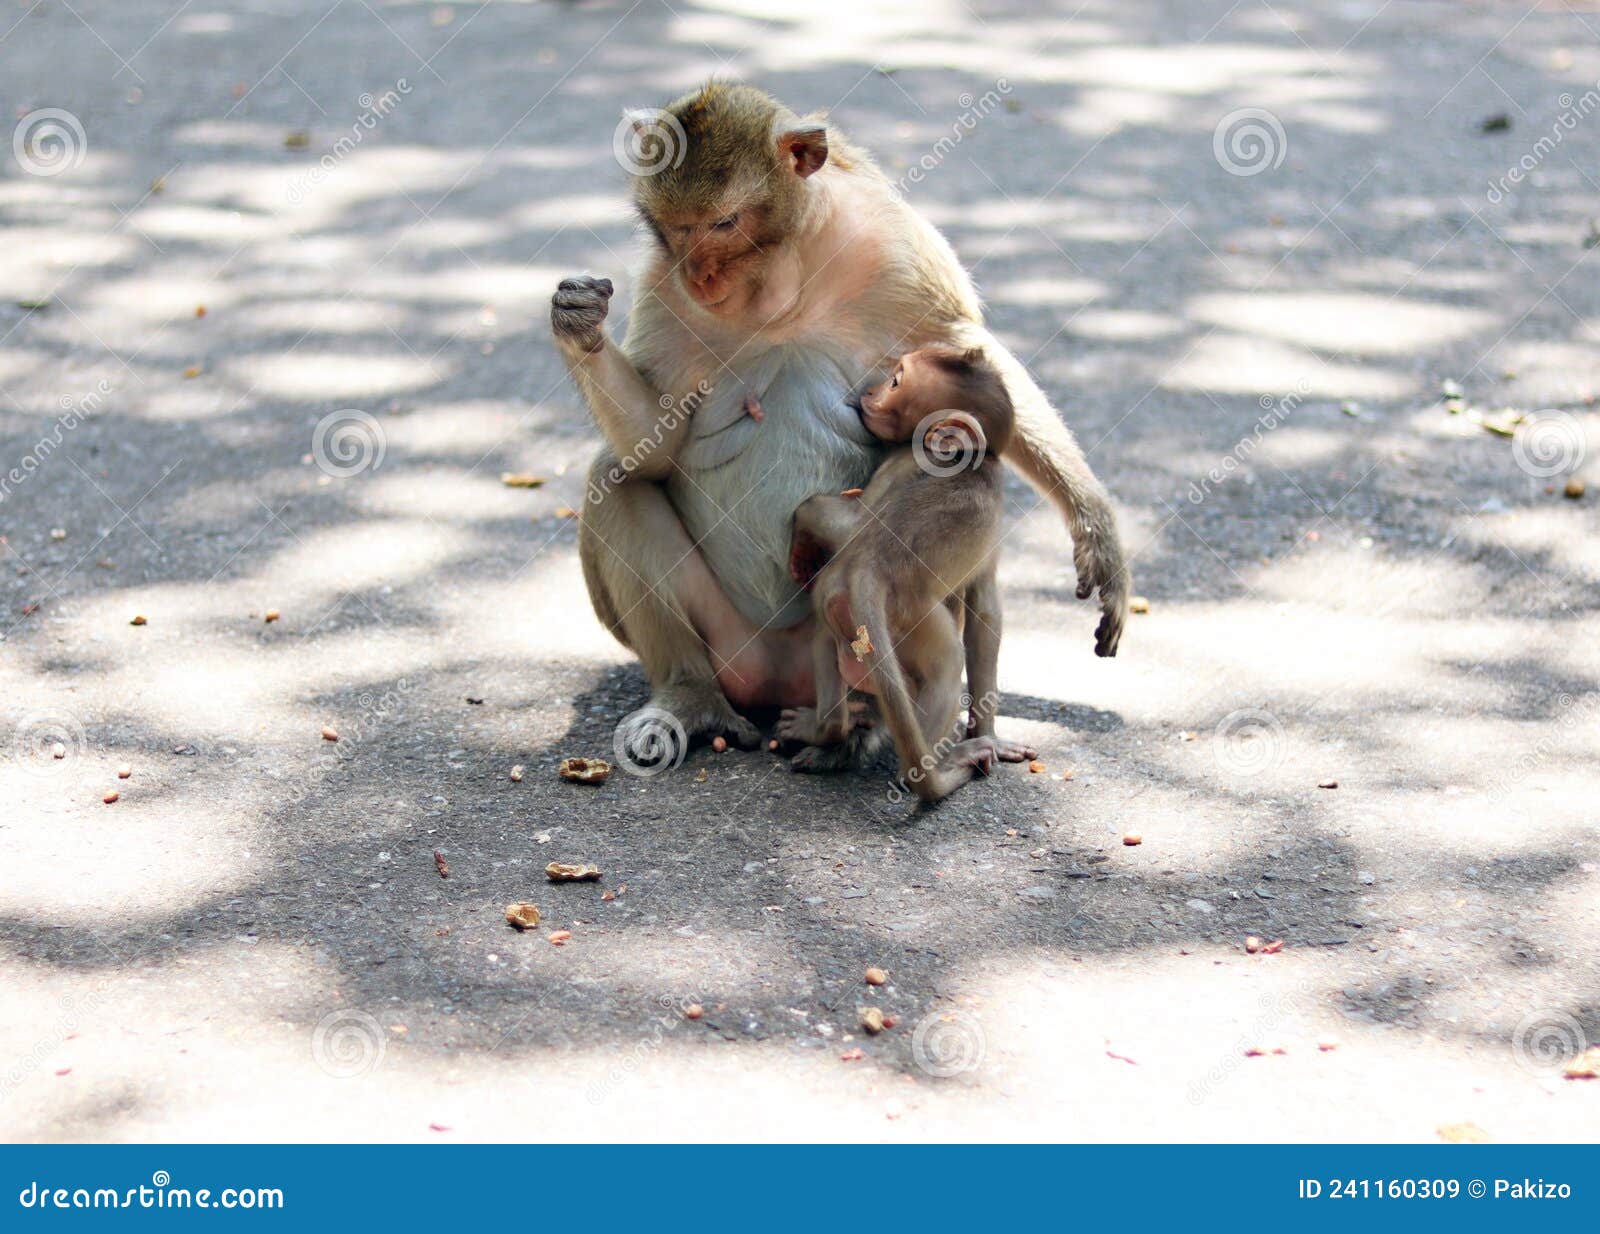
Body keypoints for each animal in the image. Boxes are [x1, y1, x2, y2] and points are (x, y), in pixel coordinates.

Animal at [777, 347, 1030, 800]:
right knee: (947, 664)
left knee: (834, 643)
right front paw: (988, 734)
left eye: (896, 382)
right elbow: (984, 609)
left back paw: (827, 730)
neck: (977, 459)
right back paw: (933, 765)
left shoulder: (902, 458)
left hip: (849, 607)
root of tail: (867, 570)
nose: (869, 389)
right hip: (904, 618)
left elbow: (850, 518)